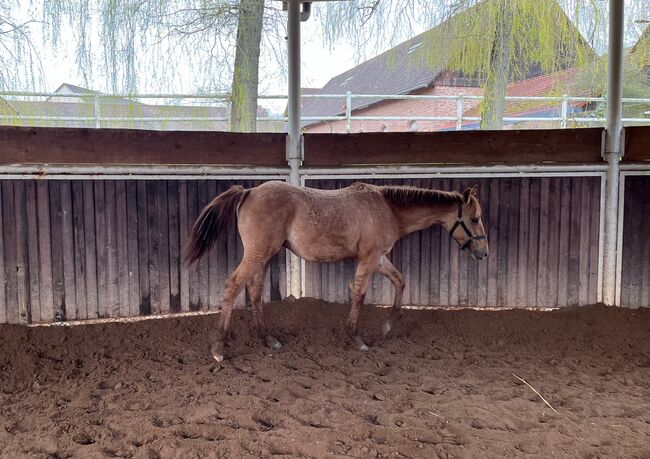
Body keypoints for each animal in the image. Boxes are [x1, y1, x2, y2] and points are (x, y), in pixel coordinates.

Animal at [185, 181, 484, 362]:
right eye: (475, 218)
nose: (483, 253)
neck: (387, 208)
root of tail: (248, 192)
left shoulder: (379, 258)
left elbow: (399, 282)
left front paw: (388, 324)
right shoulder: (369, 258)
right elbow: (360, 295)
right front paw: (356, 338)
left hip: (262, 256)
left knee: (255, 291)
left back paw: (268, 338)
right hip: (258, 253)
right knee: (232, 286)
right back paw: (218, 348)